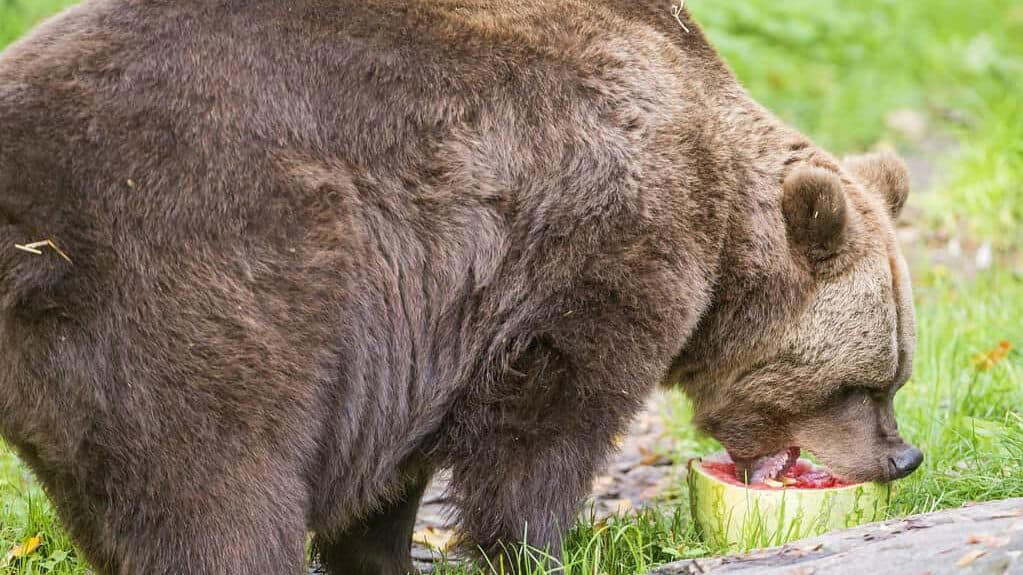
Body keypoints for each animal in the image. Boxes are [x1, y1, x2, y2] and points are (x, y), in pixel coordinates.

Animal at [0, 0, 921, 573]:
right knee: (218, 483)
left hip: (69, 371)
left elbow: (390, 467)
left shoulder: (414, 336)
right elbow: (548, 423)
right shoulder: (590, 241)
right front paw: (541, 546)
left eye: (896, 372)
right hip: (207, 288)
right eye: (866, 379)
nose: (901, 454)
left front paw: (379, 550)